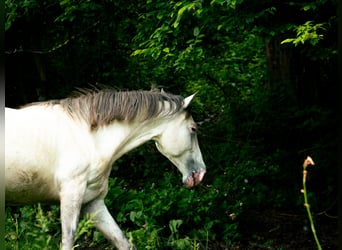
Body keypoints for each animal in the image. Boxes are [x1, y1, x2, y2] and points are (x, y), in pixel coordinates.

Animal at [5, 90, 206, 250]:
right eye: (193, 129)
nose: (201, 174)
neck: (88, 139)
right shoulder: (71, 196)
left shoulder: (92, 202)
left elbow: (124, 242)